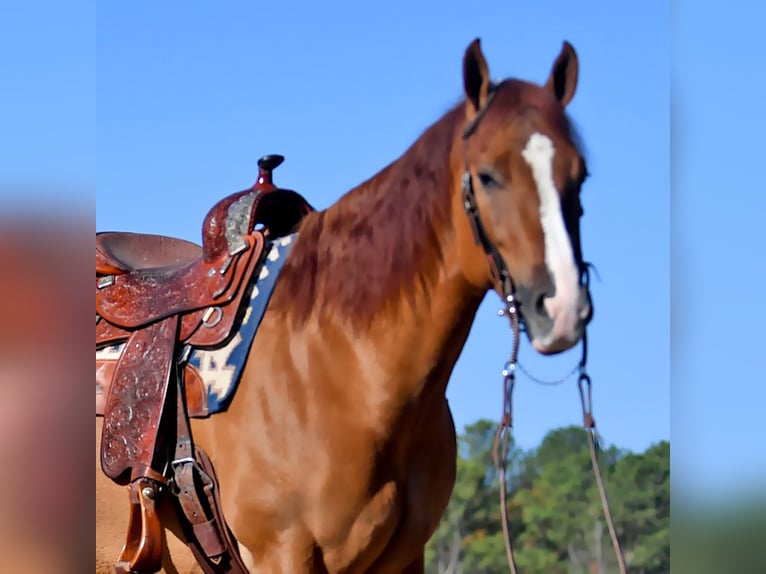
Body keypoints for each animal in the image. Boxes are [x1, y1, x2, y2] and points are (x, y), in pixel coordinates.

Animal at [97, 38, 592, 572]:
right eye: (487, 175)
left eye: (580, 175)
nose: (562, 306)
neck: (339, 367)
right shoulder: (283, 554)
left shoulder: (406, 558)